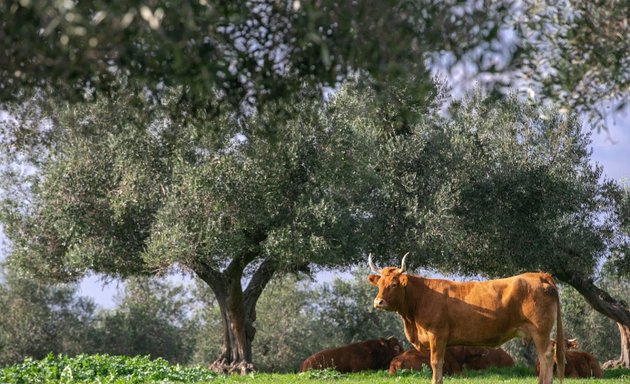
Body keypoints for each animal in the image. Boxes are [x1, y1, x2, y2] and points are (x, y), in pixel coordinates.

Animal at [368, 252, 564, 384]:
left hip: (540, 331)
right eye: (379, 284)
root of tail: (540, 275)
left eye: (394, 284)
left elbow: (436, 362)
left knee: (547, 355)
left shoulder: (438, 335)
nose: (378, 302)